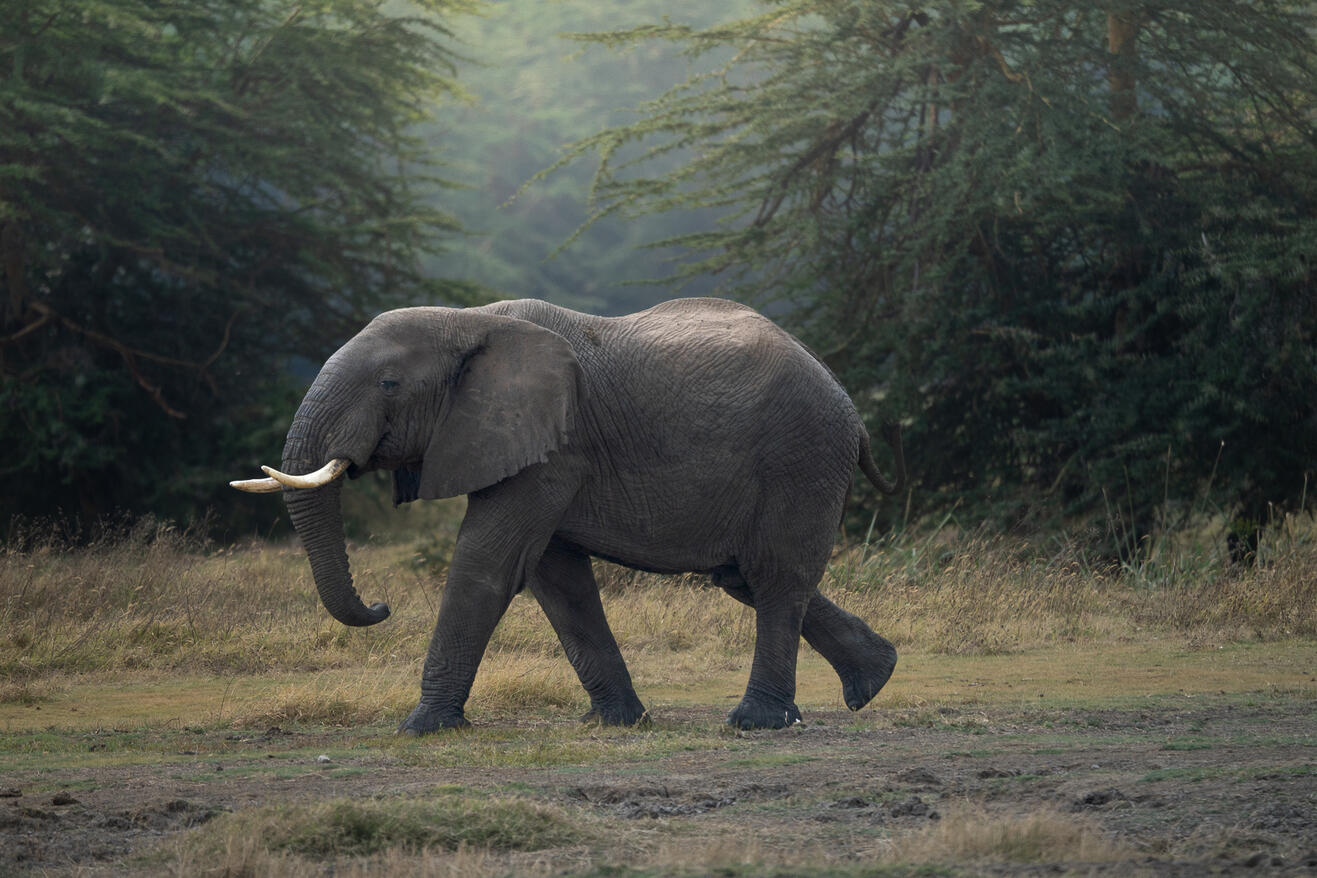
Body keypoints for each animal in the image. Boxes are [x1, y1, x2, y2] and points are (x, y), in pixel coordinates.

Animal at [231, 297, 906, 733]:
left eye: (389, 384)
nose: (380, 606)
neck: (468, 320)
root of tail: (852, 410)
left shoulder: (552, 446)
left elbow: (487, 564)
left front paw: (420, 728)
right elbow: (557, 580)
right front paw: (616, 724)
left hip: (802, 456)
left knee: (775, 576)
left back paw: (755, 723)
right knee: (744, 577)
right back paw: (872, 681)